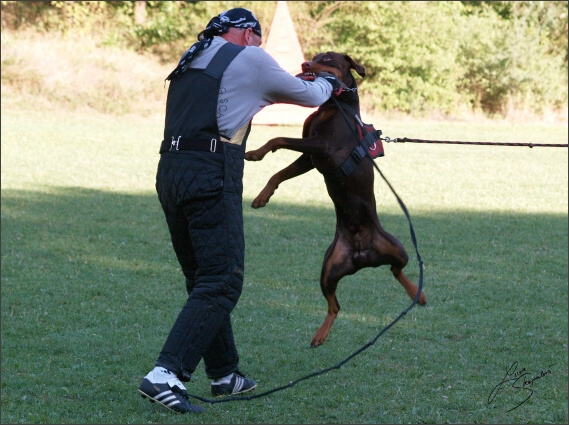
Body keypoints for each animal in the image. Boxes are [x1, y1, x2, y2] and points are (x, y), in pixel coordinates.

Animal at [244, 51, 426, 346]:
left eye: (328, 58)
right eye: (314, 56)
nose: (305, 64)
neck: (336, 104)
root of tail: (362, 255)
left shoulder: (323, 146)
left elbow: (278, 137)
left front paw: (256, 152)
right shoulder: (310, 158)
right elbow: (279, 173)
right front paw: (262, 196)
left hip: (399, 249)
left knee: (397, 270)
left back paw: (417, 294)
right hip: (328, 269)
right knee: (336, 305)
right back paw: (321, 334)